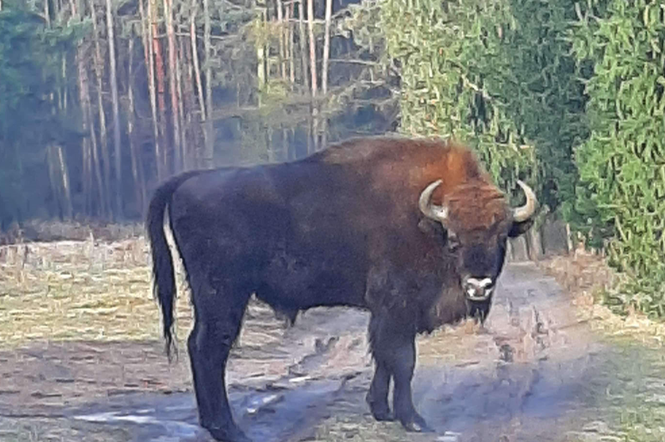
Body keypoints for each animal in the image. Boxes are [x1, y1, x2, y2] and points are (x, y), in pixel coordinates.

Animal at [145, 136, 536, 440]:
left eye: (502, 238)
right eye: (454, 239)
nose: (478, 285)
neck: (426, 221)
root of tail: (188, 181)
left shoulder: (389, 314)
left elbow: (384, 358)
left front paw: (382, 410)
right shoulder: (396, 307)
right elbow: (402, 360)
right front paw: (413, 420)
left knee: (200, 347)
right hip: (223, 297)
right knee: (210, 350)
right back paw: (228, 429)